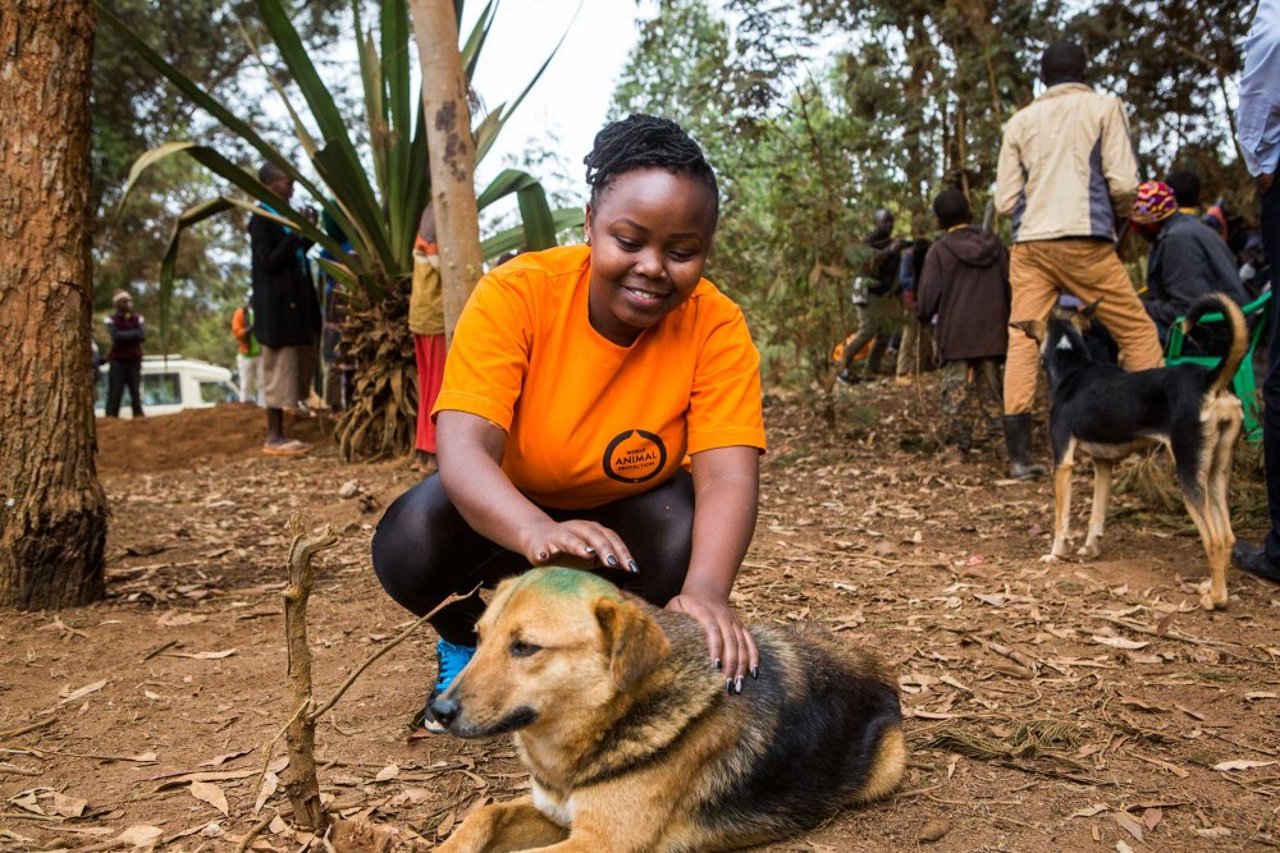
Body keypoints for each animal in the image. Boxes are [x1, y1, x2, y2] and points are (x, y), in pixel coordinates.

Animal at [427, 560, 901, 845]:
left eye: (525, 647)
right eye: (478, 639)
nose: (439, 712)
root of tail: (877, 664)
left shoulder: (600, 842)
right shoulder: (557, 814)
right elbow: (483, 815)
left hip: (886, 766)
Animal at [1013, 290, 1244, 604]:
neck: (1073, 367)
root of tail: (1211, 381)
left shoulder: (1062, 461)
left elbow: (1062, 519)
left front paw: (1055, 554)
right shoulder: (1103, 464)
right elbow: (1097, 514)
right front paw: (1090, 549)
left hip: (1188, 473)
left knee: (1215, 540)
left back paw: (1215, 599)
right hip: (1216, 473)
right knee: (1228, 536)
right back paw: (1213, 587)